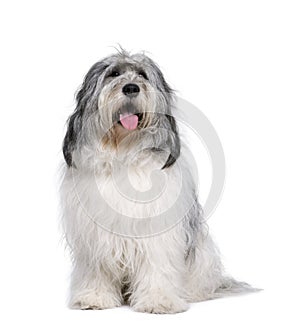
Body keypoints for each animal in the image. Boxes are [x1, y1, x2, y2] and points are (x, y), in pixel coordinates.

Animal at [59, 50, 252, 314]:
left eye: (142, 75)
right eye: (114, 73)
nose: (131, 87)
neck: (125, 154)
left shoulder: (158, 231)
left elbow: (156, 264)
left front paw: (158, 300)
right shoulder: (93, 234)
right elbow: (98, 267)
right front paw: (94, 297)